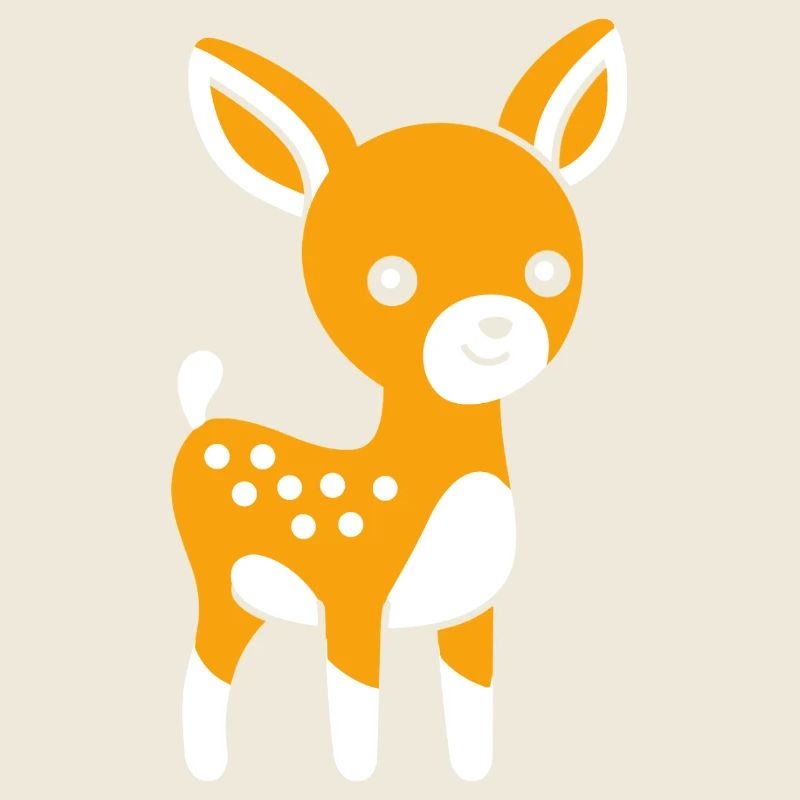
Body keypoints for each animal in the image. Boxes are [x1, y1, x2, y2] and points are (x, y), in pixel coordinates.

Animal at [173, 18, 627, 783]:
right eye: (388, 282)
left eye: (548, 270)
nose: (493, 323)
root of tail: (201, 422)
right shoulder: (351, 602)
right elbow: (358, 714)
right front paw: (358, 778)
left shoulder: (473, 614)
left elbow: (473, 705)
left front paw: (473, 775)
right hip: (216, 577)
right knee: (206, 666)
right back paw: (207, 768)